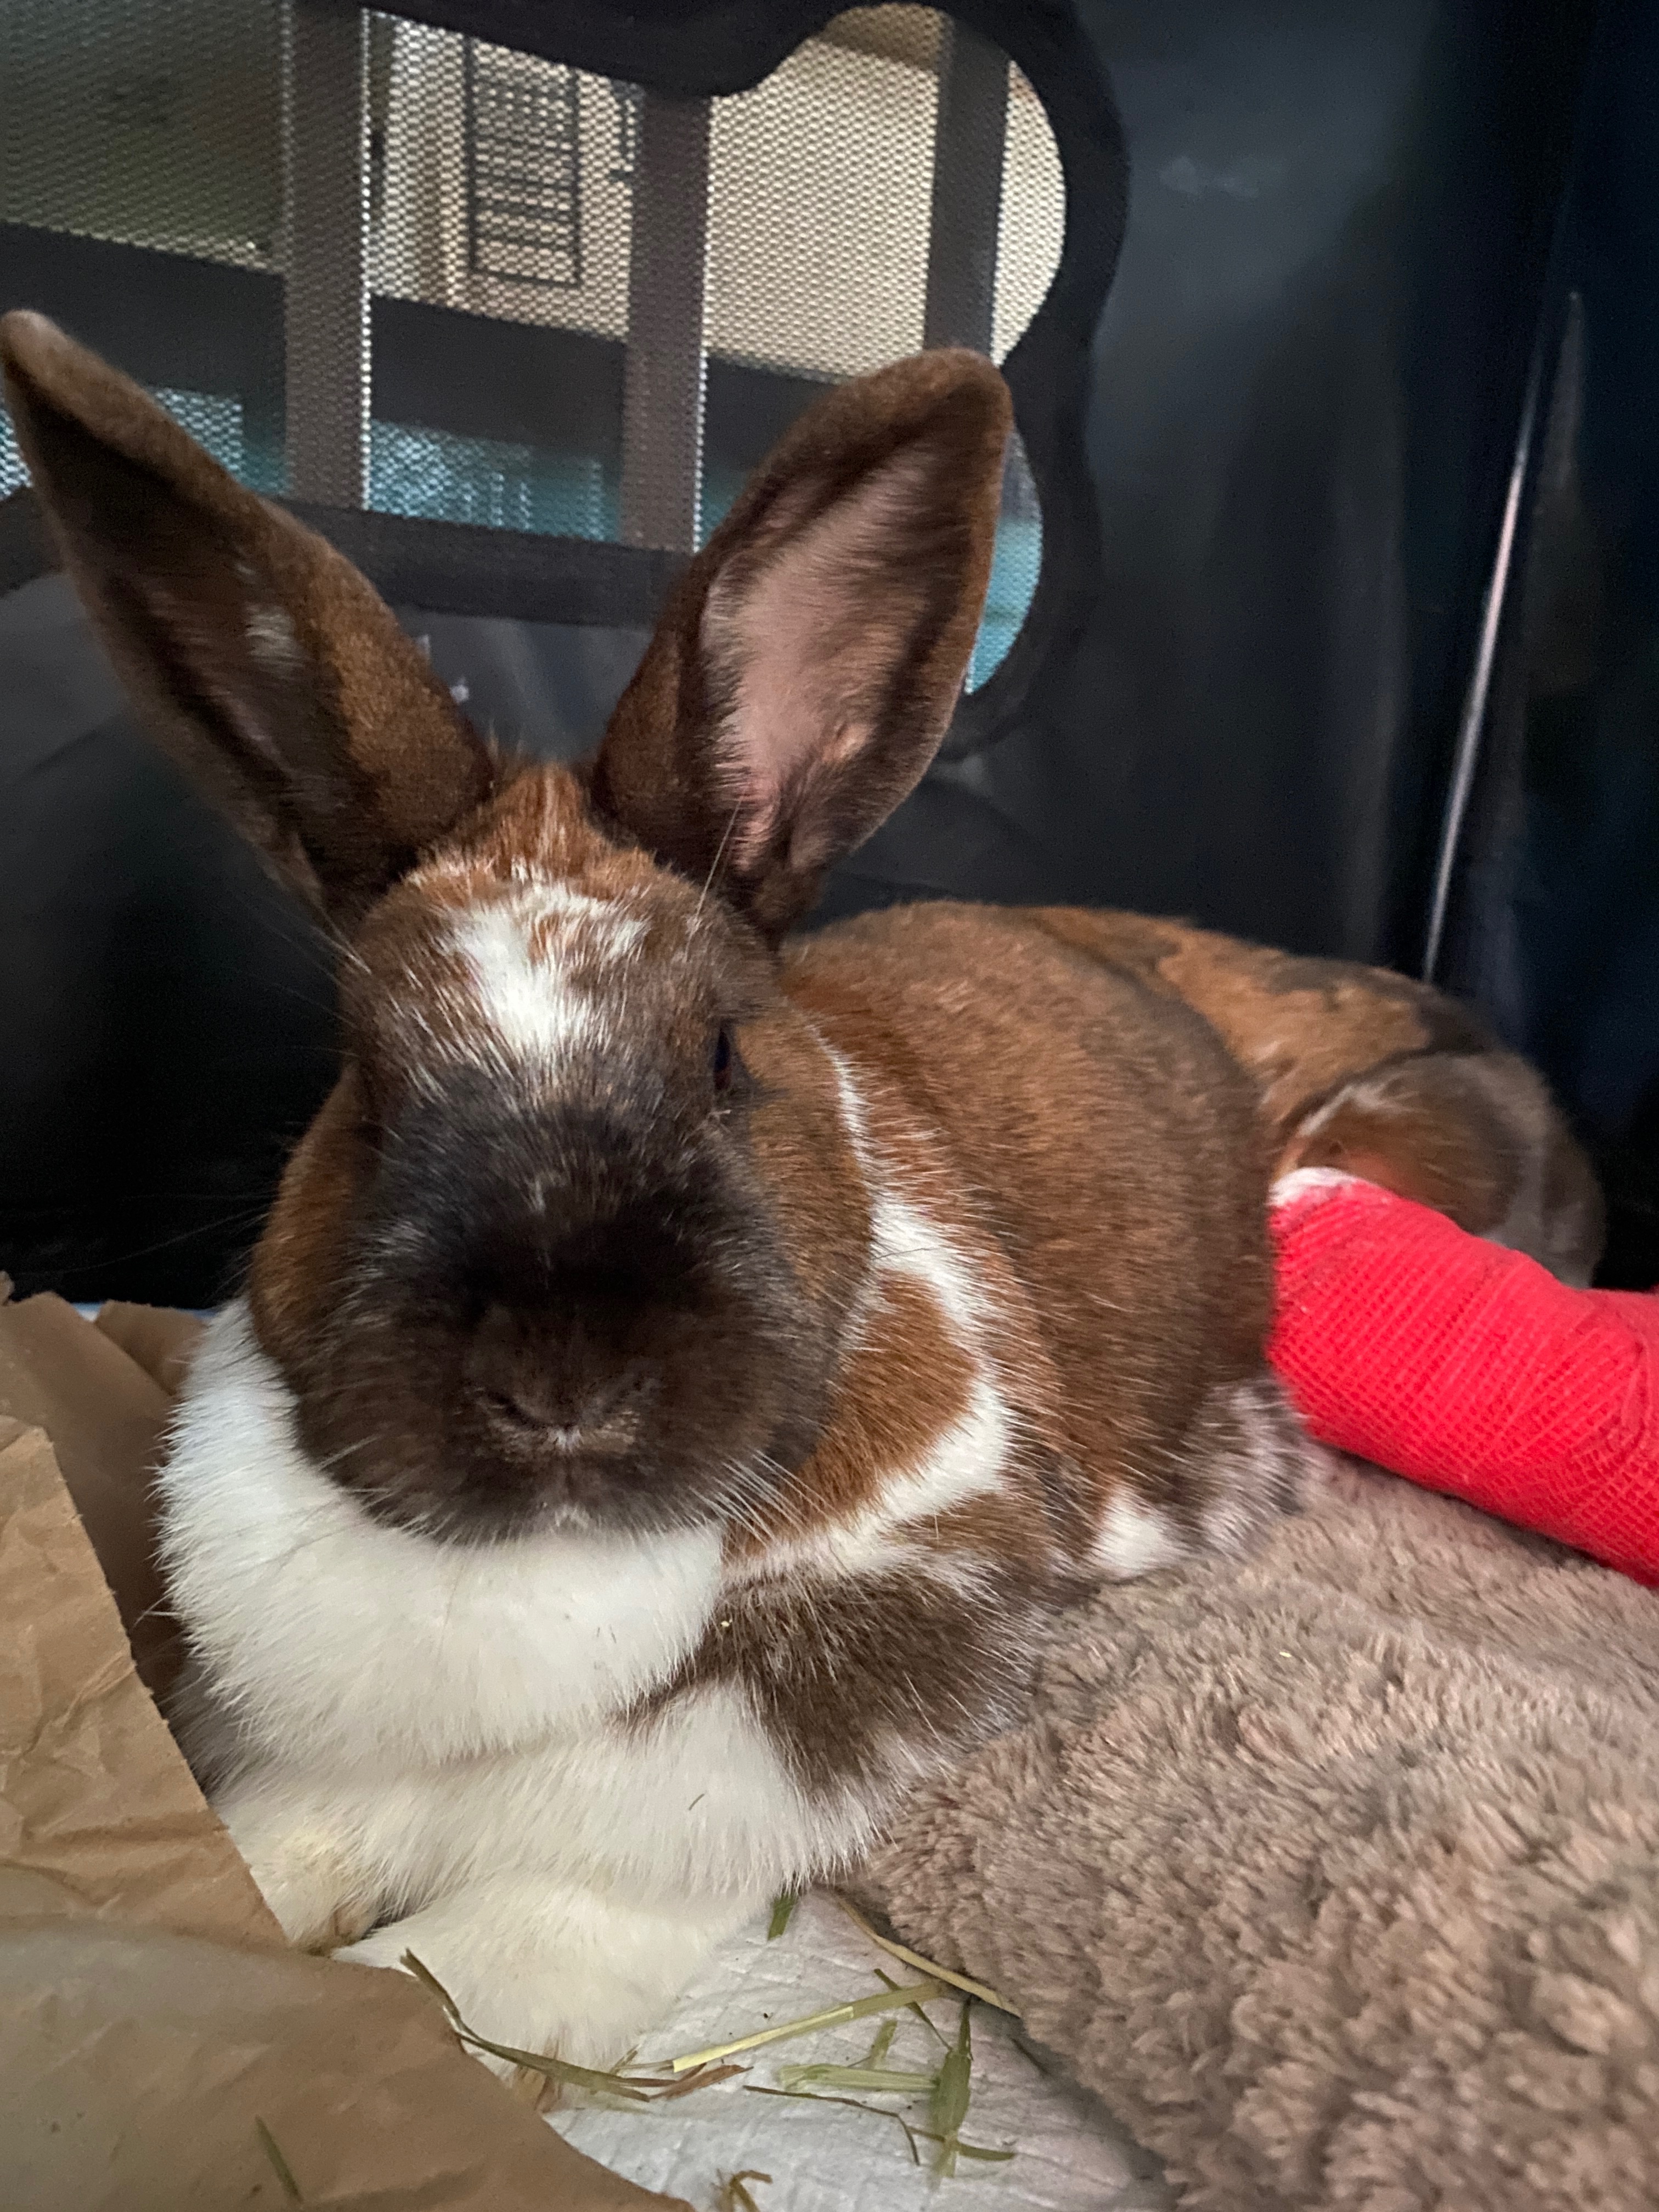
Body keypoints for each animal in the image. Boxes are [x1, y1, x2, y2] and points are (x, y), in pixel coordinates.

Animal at [0, 310, 1599, 2073]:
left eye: (723, 1054)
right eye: (363, 1082)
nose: (560, 1385)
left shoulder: (888, 1607)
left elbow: (591, 1863)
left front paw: (435, 1992)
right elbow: (284, 1836)